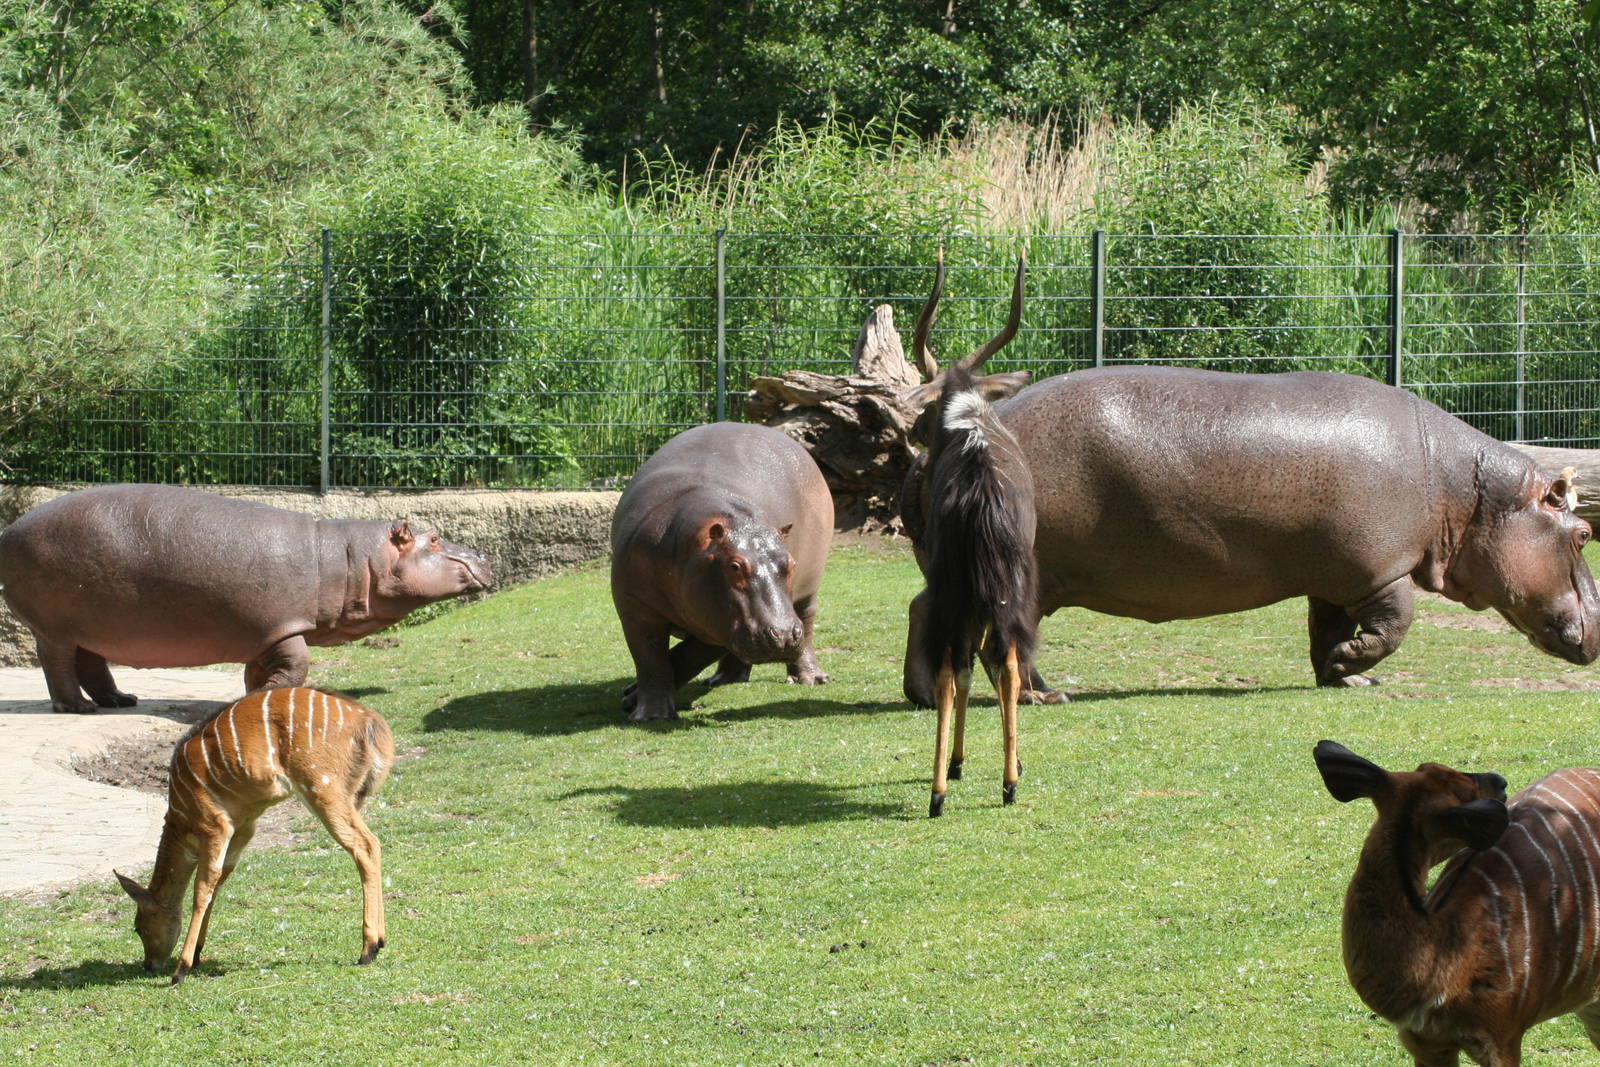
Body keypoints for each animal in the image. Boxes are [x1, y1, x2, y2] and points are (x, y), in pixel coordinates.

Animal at [0, 484, 491, 713]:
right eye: (434, 537)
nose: (484, 554)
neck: (353, 559)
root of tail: (10, 529)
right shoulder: (286, 625)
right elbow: (297, 665)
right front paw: (265, 695)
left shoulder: (264, 633)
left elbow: (261, 668)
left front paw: (255, 691)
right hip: (55, 626)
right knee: (58, 664)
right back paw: (78, 707)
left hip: (91, 624)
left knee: (91, 663)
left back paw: (121, 700)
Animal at [611, 422, 833, 721]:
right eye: (735, 566)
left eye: (791, 564)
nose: (784, 635)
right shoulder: (636, 611)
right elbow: (651, 661)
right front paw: (650, 715)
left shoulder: (717, 623)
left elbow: (686, 657)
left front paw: (632, 700)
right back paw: (724, 679)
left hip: (807, 591)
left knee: (807, 623)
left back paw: (811, 679)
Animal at [899, 277, 1599, 704]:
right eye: (1583, 531)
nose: (1597, 632)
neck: (1469, 494)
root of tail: (951, 436)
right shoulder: (1379, 568)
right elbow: (1396, 624)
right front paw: (1355, 665)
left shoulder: (1332, 571)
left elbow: (1323, 629)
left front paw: (1341, 677)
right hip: (1025, 570)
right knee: (997, 637)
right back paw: (1043, 695)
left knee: (924, 607)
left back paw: (928, 695)